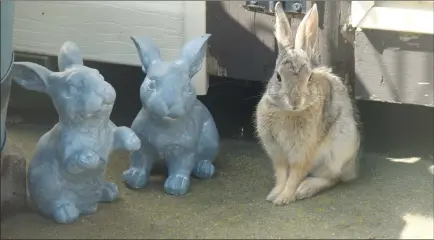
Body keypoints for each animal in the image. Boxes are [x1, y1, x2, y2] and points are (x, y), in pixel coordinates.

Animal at [11, 40, 141, 223]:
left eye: (98, 74)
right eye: (72, 87)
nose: (103, 90)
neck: (93, 127)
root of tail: (87, 208)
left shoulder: (111, 133)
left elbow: (121, 132)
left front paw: (134, 141)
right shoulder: (65, 150)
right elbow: (72, 162)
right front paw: (91, 157)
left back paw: (109, 190)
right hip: (47, 189)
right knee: (53, 205)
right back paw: (66, 212)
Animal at [122, 34, 219, 195]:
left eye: (188, 87)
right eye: (151, 84)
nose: (169, 103)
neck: (164, 123)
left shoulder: (184, 151)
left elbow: (181, 167)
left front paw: (176, 186)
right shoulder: (142, 146)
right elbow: (139, 162)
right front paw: (134, 178)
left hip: (210, 138)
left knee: (205, 158)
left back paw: (204, 169)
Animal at [256, 1, 362, 205]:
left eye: (310, 78)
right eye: (278, 77)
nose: (295, 102)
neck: (289, 112)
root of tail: (353, 168)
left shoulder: (303, 151)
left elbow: (294, 175)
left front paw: (285, 198)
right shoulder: (278, 152)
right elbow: (282, 174)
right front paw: (274, 195)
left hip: (338, 149)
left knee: (333, 177)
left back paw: (305, 189)